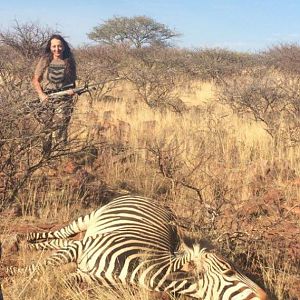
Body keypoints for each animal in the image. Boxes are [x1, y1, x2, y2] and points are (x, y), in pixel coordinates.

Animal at [1, 196, 268, 298]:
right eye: (229, 272)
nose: (266, 296)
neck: (142, 269)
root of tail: (155, 201)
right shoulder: (85, 248)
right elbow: (40, 268)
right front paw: (13, 275)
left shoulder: (88, 276)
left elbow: (60, 279)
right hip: (90, 219)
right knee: (60, 234)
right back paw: (18, 240)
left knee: (61, 241)